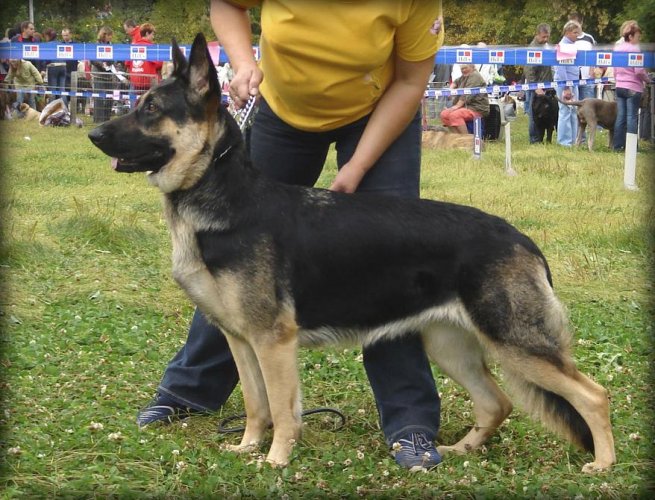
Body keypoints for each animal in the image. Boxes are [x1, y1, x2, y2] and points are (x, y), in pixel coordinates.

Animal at [87, 34, 616, 472]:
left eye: (151, 108)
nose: (95, 136)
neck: (223, 196)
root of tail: (523, 240)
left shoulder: (273, 343)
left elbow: (283, 410)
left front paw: (276, 460)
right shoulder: (241, 341)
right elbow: (257, 405)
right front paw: (248, 447)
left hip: (516, 345)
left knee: (594, 395)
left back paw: (603, 465)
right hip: (450, 346)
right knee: (497, 403)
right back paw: (460, 449)